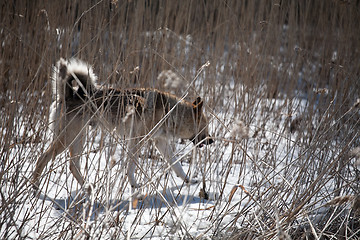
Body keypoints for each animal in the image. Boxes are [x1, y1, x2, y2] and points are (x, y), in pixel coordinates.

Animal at [31, 58, 214, 191]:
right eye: (205, 126)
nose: (212, 140)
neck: (171, 112)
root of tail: (68, 95)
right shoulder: (137, 141)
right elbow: (131, 167)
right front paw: (134, 185)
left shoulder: (160, 143)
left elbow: (177, 166)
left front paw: (189, 180)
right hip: (68, 138)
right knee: (43, 158)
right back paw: (35, 186)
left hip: (78, 138)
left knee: (73, 166)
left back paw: (88, 187)